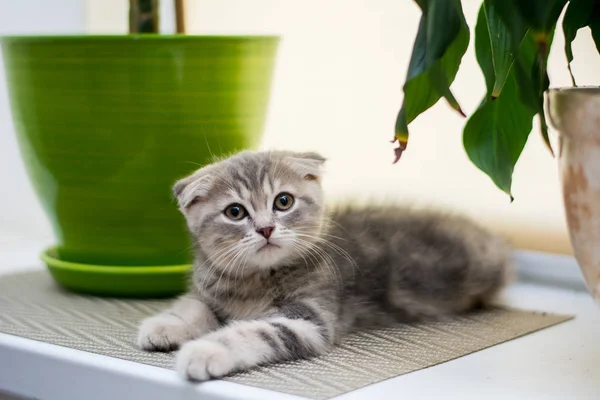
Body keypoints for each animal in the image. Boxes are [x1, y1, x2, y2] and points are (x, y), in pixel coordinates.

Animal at [137, 150, 510, 382]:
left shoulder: (309, 319)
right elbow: (194, 307)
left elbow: (253, 331)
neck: (256, 282)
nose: (266, 229)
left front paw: (204, 351)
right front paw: (164, 326)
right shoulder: (212, 289)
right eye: (235, 212)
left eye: (283, 201)